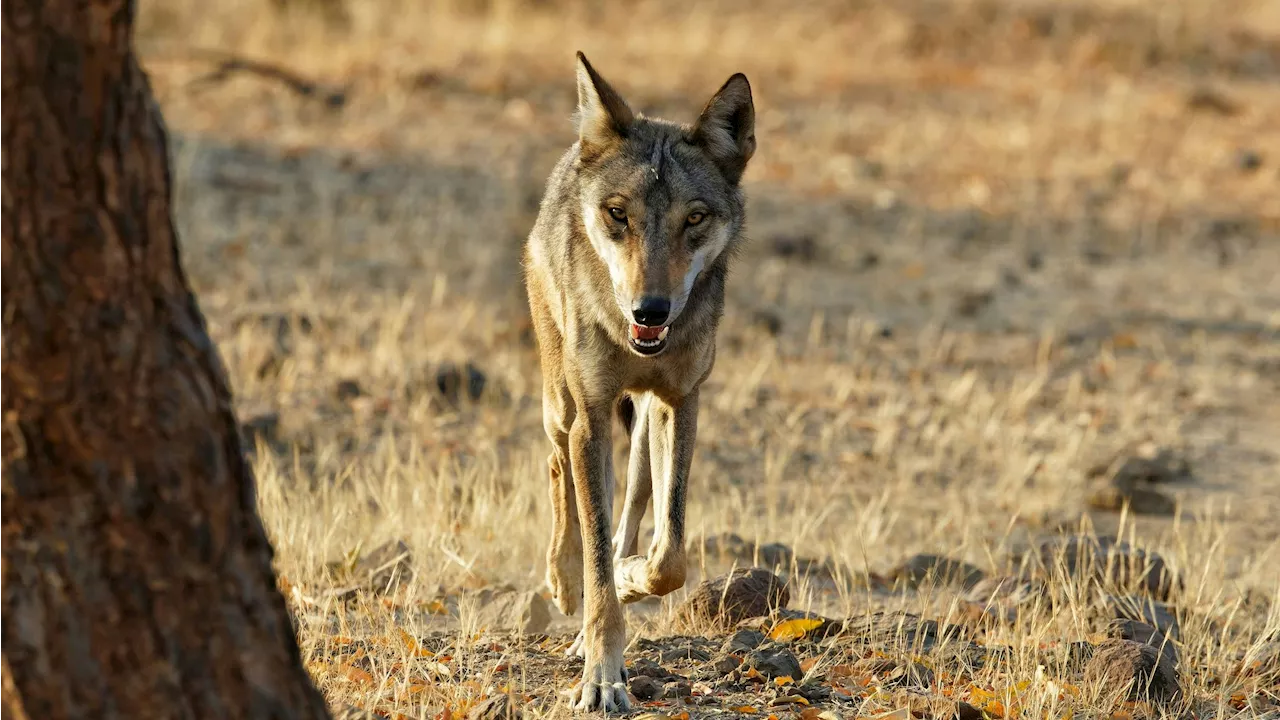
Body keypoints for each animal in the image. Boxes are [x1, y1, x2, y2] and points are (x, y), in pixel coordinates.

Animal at [519, 53, 752, 707]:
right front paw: (601, 677)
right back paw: (562, 582)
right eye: (618, 213)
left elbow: (669, 554)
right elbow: (596, 547)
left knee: (633, 503)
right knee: (558, 470)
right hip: (561, 404)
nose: (651, 311)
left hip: (646, 423)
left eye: (693, 219)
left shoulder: (682, 401)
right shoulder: (592, 417)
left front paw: (628, 583)